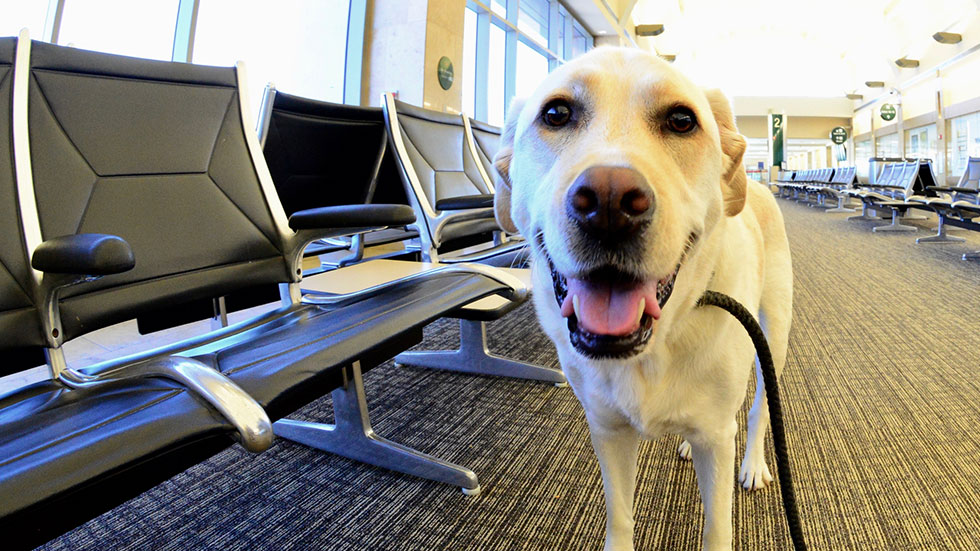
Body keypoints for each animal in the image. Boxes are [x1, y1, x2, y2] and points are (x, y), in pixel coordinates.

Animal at [494, 48, 792, 551]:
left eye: (681, 120)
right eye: (555, 114)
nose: (609, 202)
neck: (650, 350)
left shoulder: (719, 438)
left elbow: (717, 527)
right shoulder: (607, 430)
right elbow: (620, 517)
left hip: (772, 335)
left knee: (755, 412)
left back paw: (751, 464)